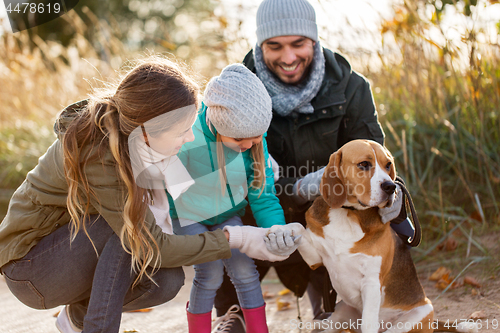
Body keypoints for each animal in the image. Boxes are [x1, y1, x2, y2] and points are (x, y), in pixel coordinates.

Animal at [272, 139, 478, 332]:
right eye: (364, 164)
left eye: (388, 165)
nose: (391, 186)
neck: (349, 213)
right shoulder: (314, 259)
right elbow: (298, 227)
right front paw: (280, 233)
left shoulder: (371, 283)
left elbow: (369, 323)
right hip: (341, 310)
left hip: (419, 313)